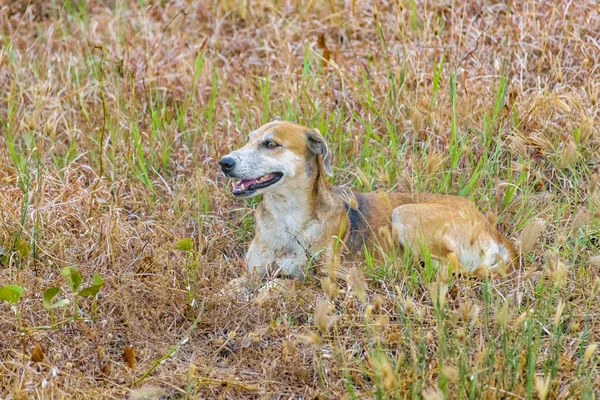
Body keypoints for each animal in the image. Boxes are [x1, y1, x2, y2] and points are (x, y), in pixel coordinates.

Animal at [220, 119, 516, 282]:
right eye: (248, 140)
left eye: (271, 144)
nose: (224, 162)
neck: (286, 218)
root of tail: (488, 225)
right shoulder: (250, 273)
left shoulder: (311, 278)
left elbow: (276, 285)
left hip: (405, 213)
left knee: (450, 268)